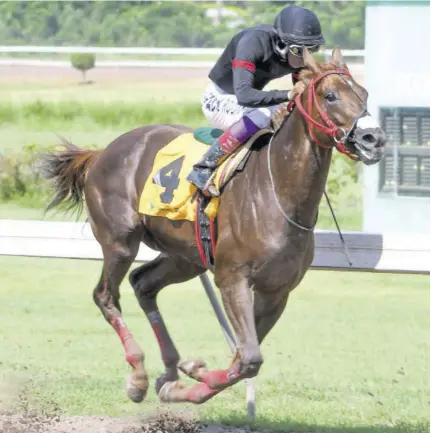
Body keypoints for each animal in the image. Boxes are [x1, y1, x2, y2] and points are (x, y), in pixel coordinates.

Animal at [42, 49, 386, 406]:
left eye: (364, 94)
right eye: (330, 95)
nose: (374, 139)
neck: (279, 192)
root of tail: (100, 153)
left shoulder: (276, 291)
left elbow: (242, 358)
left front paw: (188, 379)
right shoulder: (232, 277)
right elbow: (249, 358)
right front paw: (191, 377)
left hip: (186, 257)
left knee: (143, 284)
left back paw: (169, 371)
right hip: (120, 242)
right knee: (106, 296)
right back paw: (137, 375)